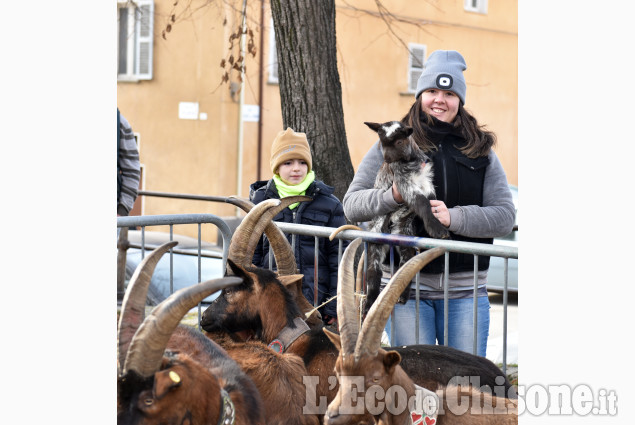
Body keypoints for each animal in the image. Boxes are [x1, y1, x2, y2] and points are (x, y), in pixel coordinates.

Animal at [366, 121, 450, 314]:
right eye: (381, 142)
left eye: (399, 141)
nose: (387, 160)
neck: (410, 161)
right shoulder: (404, 184)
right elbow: (422, 202)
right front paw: (437, 229)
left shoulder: (426, 182)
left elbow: (430, 201)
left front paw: (436, 224)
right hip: (375, 235)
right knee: (374, 272)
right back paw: (369, 304)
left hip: (404, 235)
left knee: (405, 266)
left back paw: (403, 296)